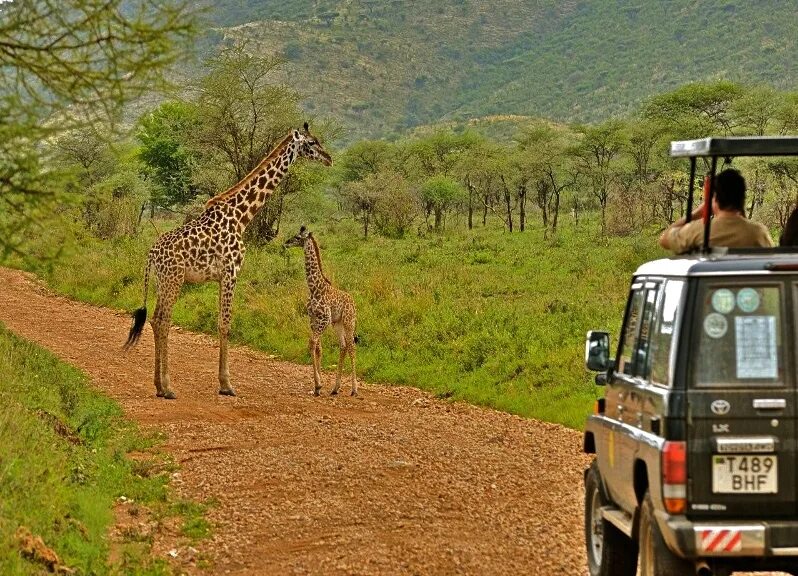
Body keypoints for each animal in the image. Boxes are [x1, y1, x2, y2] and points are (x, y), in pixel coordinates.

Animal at [125, 124, 332, 398]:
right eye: (311, 143)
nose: (329, 158)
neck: (241, 216)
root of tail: (152, 255)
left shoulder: (221, 276)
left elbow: (220, 322)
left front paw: (223, 382)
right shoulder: (232, 272)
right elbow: (225, 324)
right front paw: (226, 384)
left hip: (162, 281)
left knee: (155, 319)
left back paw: (159, 386)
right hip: (174, 279)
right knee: (162, 320)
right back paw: (168, 387)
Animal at [282, 225, 356, 396]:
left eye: (297, 237)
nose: (286, 243)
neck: (314, 288)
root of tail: (353, 302)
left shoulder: (324, 319)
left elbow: (312, 343)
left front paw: (318, 385)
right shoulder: (314, 319)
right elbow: (318, 347)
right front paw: (319, 384)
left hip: (349, 322)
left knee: (351, 347)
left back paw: (354, 389)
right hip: (337, 324)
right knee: (343, 346)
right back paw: (335, 388)